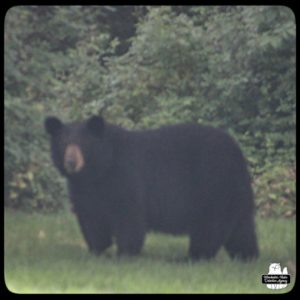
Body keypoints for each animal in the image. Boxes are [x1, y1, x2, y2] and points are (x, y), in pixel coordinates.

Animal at [44, 115, 258, 260]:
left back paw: (193, 257)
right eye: (64, 144)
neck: (98, 171)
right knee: (241, 228)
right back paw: (246, 256)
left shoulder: (124, 177)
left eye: (84, 143)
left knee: (210, 226)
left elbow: (128, 215)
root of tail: (237, 152)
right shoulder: (84, 190)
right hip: (234, 192)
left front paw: (125, 254)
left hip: (212, 185)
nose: (71, 162)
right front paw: (98, 251)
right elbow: (91, 218)